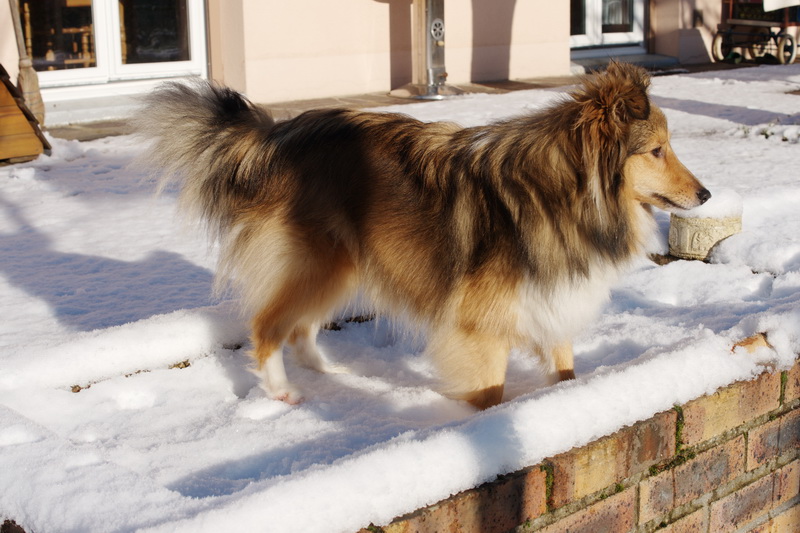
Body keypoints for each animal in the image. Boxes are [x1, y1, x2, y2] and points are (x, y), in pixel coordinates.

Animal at [139, 63, 712, 412]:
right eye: (656, 150)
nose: (706, 193)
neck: (562, 191)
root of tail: (276, 134)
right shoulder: (480, 329)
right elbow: (491, 393)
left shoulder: (549, 299)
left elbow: (565, 369)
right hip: (316, 261)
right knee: (267, 327)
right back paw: (282, 392)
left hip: (342, 264)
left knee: (300, 328)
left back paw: (332, 372)